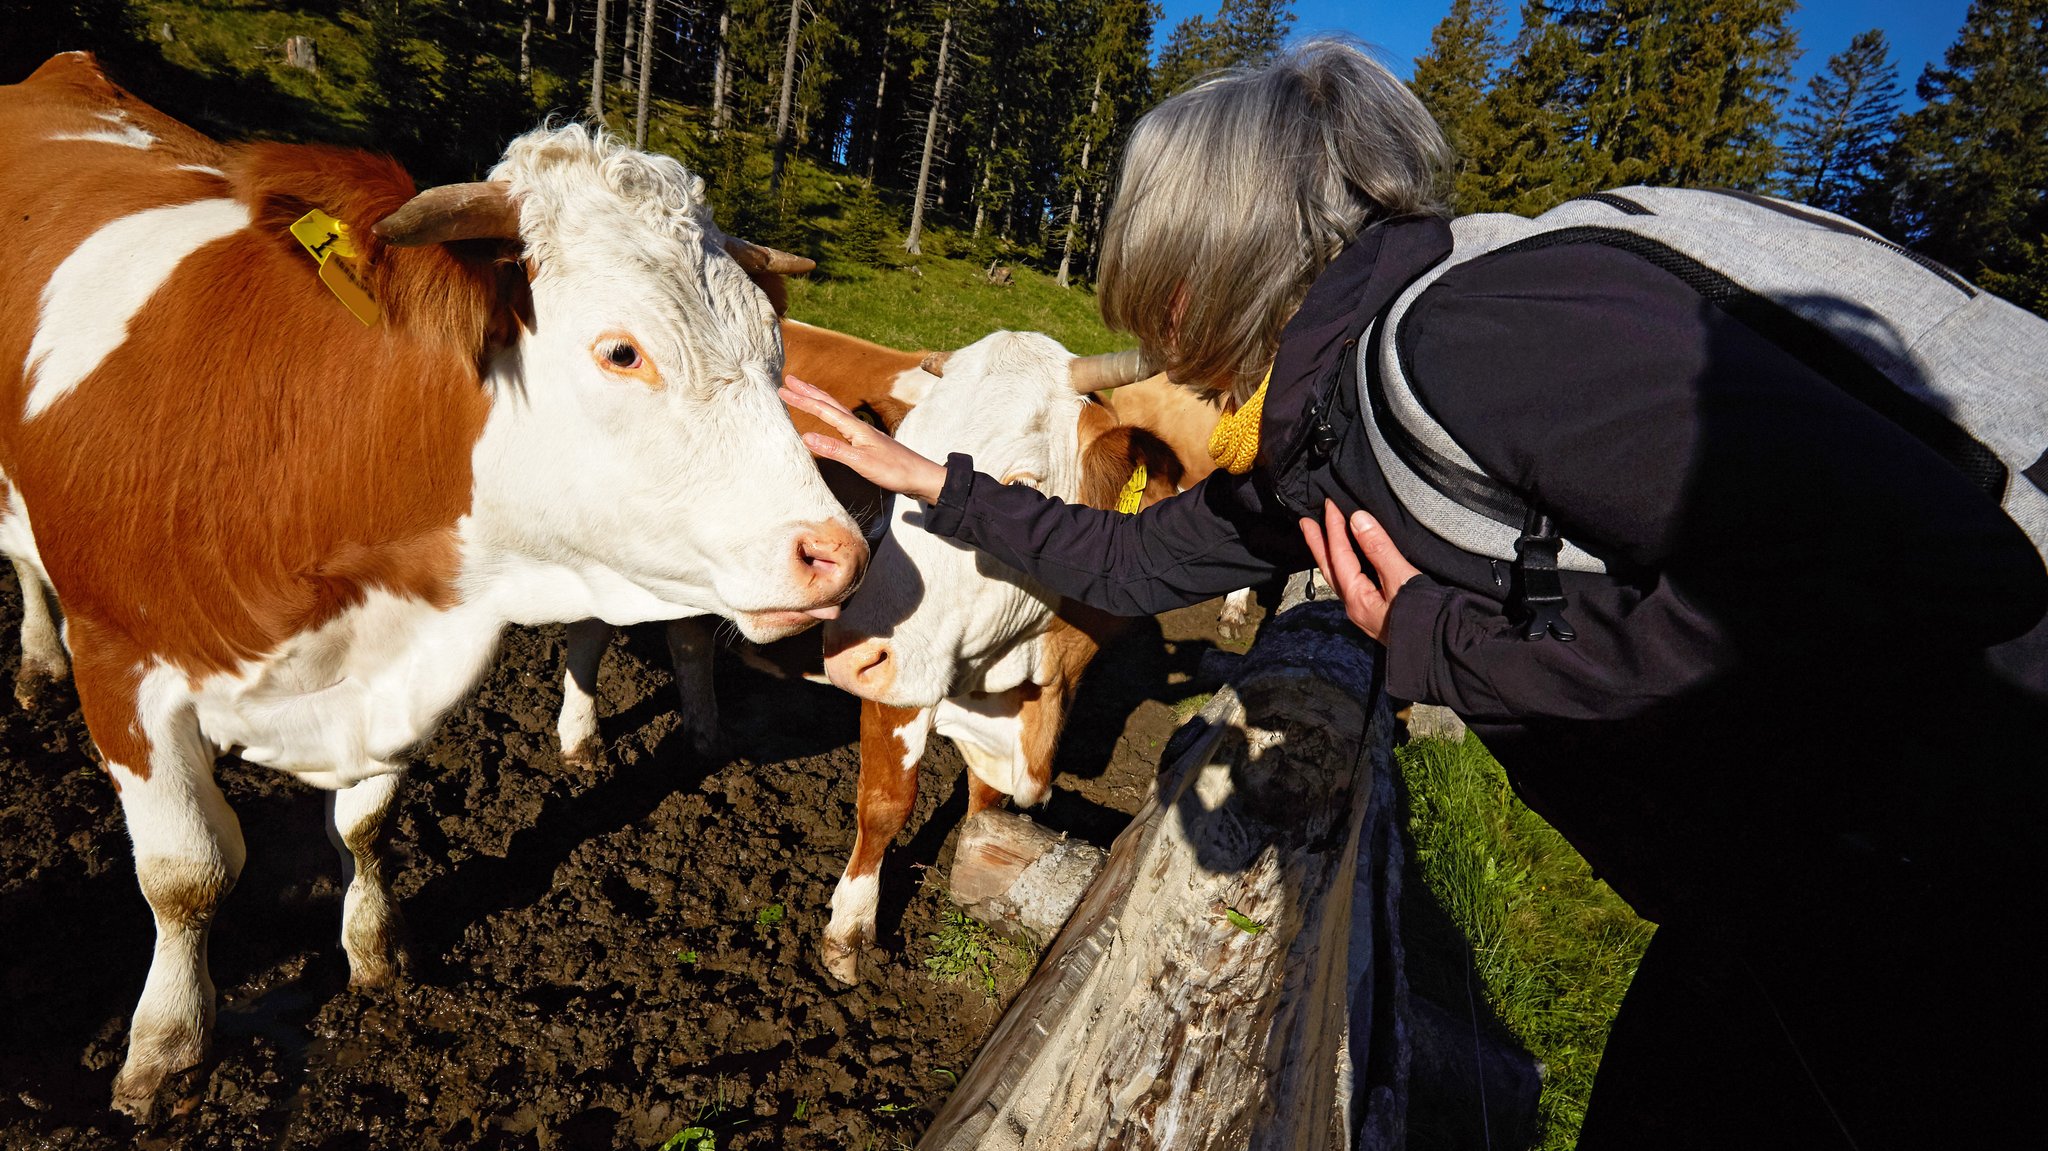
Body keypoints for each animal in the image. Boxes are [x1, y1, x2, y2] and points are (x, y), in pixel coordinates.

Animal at [0, 53, 864, 1114]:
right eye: (622, 350)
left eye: (774, 348)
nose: (837, 552)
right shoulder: (123, 664)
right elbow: (186, 873)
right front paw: (166, 1046)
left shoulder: (393, 671)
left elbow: (367, 824)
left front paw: (377, 952)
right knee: (25, 566)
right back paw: (35, 663)